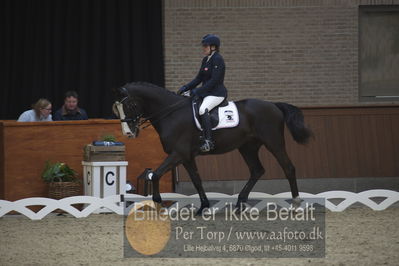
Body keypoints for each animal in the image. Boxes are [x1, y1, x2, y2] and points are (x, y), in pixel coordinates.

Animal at [112, 82, 312, 213]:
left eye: (130, 105)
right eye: (117, 109)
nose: (128, 134)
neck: (171, 113)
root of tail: (274, 105)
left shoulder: (178, 153)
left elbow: (155, 174)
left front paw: (158, 203)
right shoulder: (186, 157)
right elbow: (196, 180)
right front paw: (203, 206)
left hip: (274, 143)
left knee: (288, 167)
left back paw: (295, 203)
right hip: (247, 147)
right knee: (257, 170)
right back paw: (240, 203)